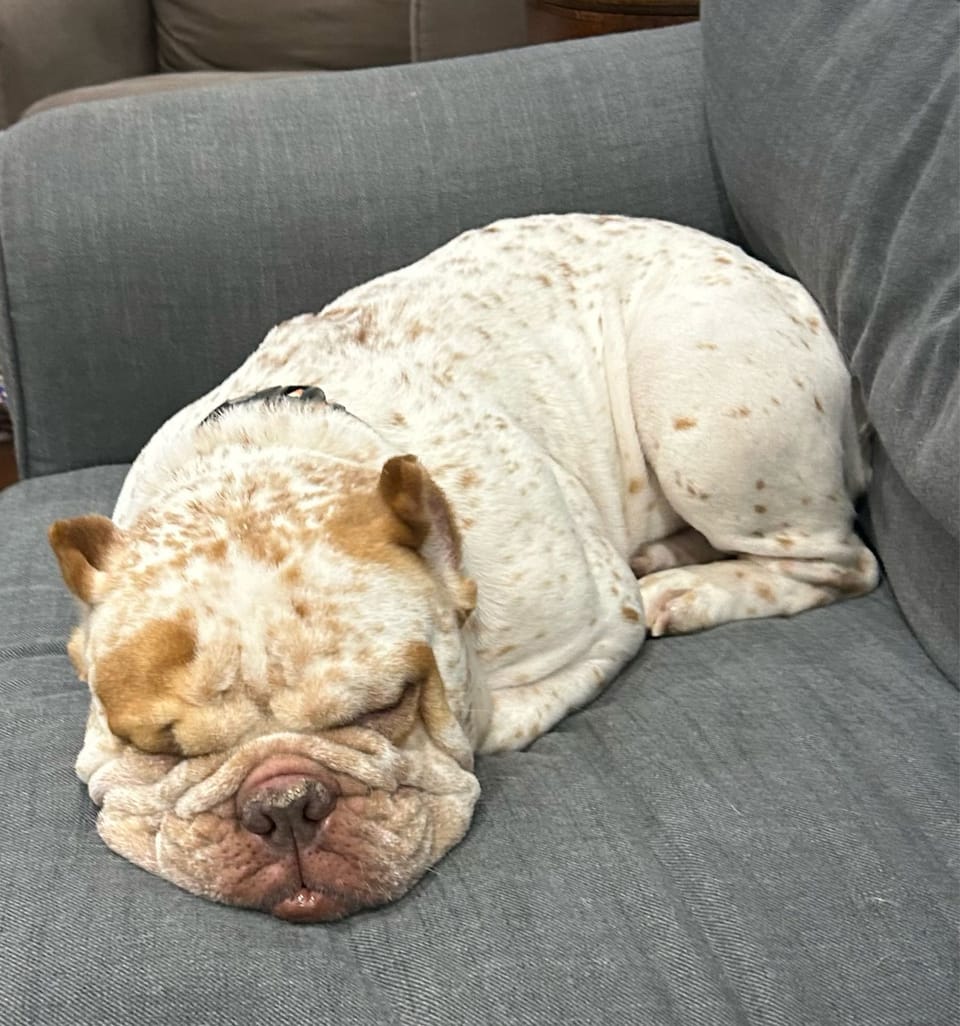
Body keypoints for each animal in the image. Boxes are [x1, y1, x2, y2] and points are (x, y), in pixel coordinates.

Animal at [49, 214, 878, 921]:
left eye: (389, 705)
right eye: (152, 747)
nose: (282, 803)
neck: (270, 457)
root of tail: (779, 282)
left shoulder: (597, 622)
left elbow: (492, 720)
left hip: (701, 412)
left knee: (835, 563)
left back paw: (687, 586)